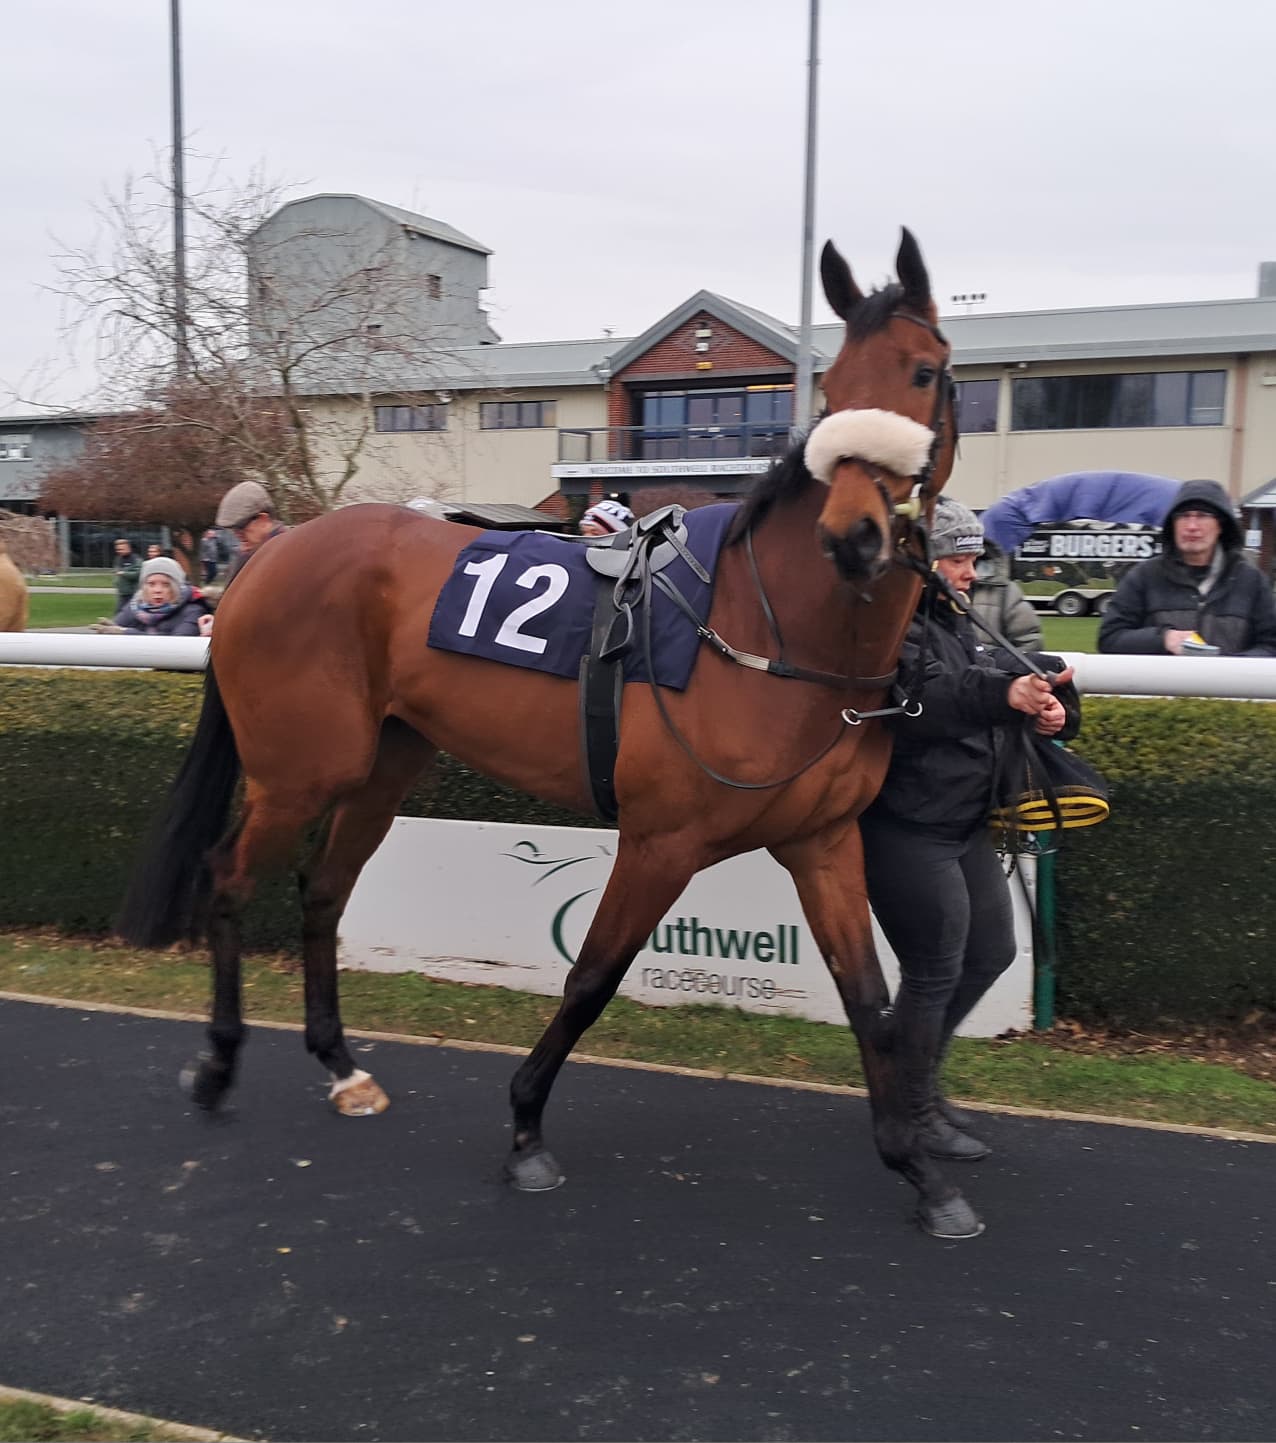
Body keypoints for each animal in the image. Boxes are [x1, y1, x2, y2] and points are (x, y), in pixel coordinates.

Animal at [118, 229, 983, 1239]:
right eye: (835, 387)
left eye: (921, 371)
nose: (851, 536)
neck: (773, 635)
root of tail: (268, 555)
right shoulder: (662, 839)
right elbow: (592, 977)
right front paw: (526, 1125)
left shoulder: (822, 839)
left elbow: (872, 999)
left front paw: (919, 1168)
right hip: (300, 770)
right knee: (227, 876)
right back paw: (218, 1063)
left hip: (384, 762)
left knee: (323, 888)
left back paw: (342, 1066)